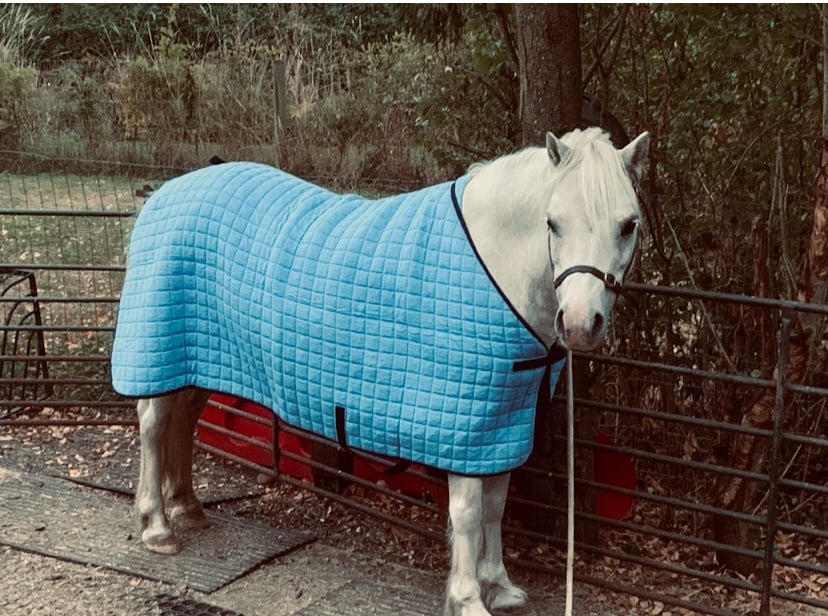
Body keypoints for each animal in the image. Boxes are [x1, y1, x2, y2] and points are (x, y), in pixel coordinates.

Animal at [111, 127, 649, 616]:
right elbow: (468, 513)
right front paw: (467, 598)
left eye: (628, 225)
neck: (493, 268)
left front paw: (499, 586)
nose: (579, 324)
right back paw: (157, 526)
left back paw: (188, 507)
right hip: (157, 344)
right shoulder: (462, 422)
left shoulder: (503, 420)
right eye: (553, 222)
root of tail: (166, 194)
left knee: (183, 419)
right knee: (155, 425)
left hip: (200, 357)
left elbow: (496, 504)